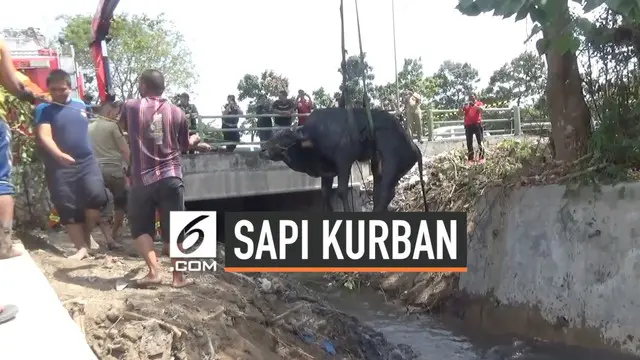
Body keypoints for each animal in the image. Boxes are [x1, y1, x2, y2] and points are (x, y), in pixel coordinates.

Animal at [258, 108, 428, 212]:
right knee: (380, 191)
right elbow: (325, 193)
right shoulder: (327, 173)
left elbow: (341, 191)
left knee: (387, 192)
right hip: (378, 166)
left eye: (285, 136)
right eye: (275, 134)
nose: (262, 149)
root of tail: (415, 147)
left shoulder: (344, 161)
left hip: (392, 165)